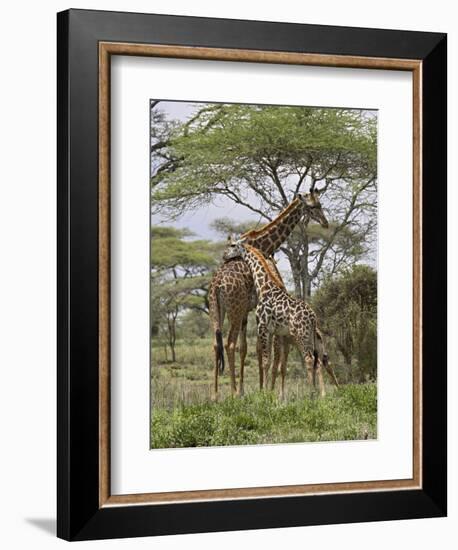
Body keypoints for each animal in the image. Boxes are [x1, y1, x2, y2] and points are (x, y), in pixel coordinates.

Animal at [231, 244, 320, 394]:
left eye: (232, 246)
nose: (225, 256)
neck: (264, 286)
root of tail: (313, 317)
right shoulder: (273, 331)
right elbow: (271, 363)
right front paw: (269, 392)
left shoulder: (263, 327)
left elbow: (266, 361)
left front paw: (265, 393)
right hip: (309, 335)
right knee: (316, 360)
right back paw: (318, 393)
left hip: (301, 334)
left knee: (308, 358)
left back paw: (311, 392)